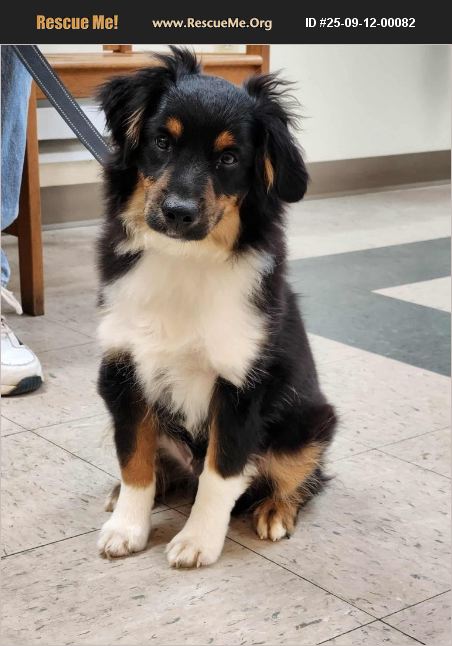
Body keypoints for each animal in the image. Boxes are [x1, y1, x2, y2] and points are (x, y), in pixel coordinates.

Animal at [96, 47, 336, 567]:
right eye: (162, 142)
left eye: (229, 158)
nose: (177, 212)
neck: (186, 260)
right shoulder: (123, 371)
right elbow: (134, 460)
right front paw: (127, 526)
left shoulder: (243, 382)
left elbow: (220, 471)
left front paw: (198, 541)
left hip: (310, 421)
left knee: (302, 475)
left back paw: (275, 509)